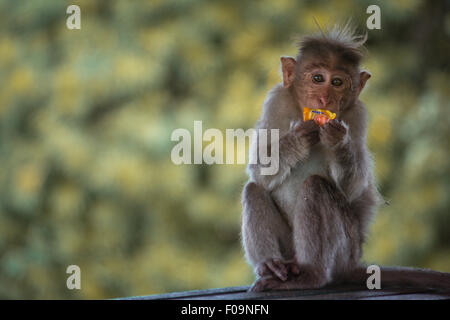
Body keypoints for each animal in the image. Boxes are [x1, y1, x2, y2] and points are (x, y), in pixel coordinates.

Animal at [241, 25, 450, 292]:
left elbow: (354, 188)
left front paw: (337, 141)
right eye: (318, 79)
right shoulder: (276, 101)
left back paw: (312, 275)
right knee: (254, 189)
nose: (325, 99)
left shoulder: (358, 116)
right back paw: (272, 265)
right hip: (292, 250)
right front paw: (297, 140)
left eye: (337, 82)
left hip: (344, 248)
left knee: (316, 187)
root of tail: (351, 262)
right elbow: (260, 170)